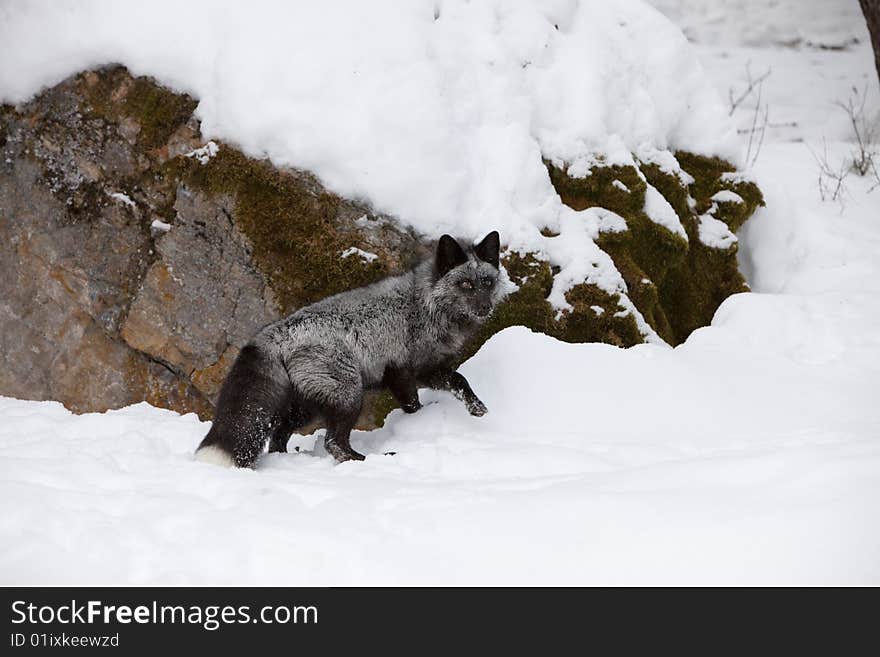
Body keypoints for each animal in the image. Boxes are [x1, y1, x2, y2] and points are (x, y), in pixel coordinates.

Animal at [196, 231, 506, 466]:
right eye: (464, 284)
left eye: (487, 282)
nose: (485, 307)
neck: (426, 306)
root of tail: (274, 333)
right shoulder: (401, 371)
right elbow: (414, 404)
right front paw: (419, 424)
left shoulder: (428, 369)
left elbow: (459, 380)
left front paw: (478, 410)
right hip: (347, 397)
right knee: (333, 442)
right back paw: (367, 460)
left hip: (307, 406)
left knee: (278, 436)